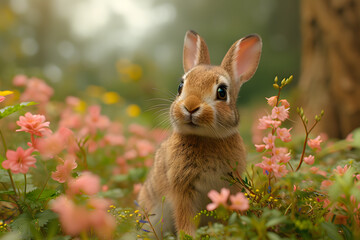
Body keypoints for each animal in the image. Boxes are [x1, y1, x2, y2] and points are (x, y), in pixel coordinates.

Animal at [138, 30, 262, 238]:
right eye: (180, 87)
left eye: (222, 92)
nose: (190, 106)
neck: (207, 137)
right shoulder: (182, 189)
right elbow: (185, 218)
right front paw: (189, 236)